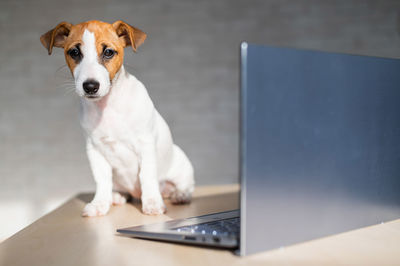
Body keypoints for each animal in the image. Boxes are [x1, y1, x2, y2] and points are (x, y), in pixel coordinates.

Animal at [40, 20, 195, 216]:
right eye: (74, 52)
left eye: (108, 52)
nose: (90, 86)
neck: (107, 107)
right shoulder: (95, 150)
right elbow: (102, 180)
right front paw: (99, 203)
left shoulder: (145, 144)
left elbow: (147, 175)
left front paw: (152, 202)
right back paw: (117, 196)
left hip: (181, 165)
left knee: (185, 185)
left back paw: (180, 194)